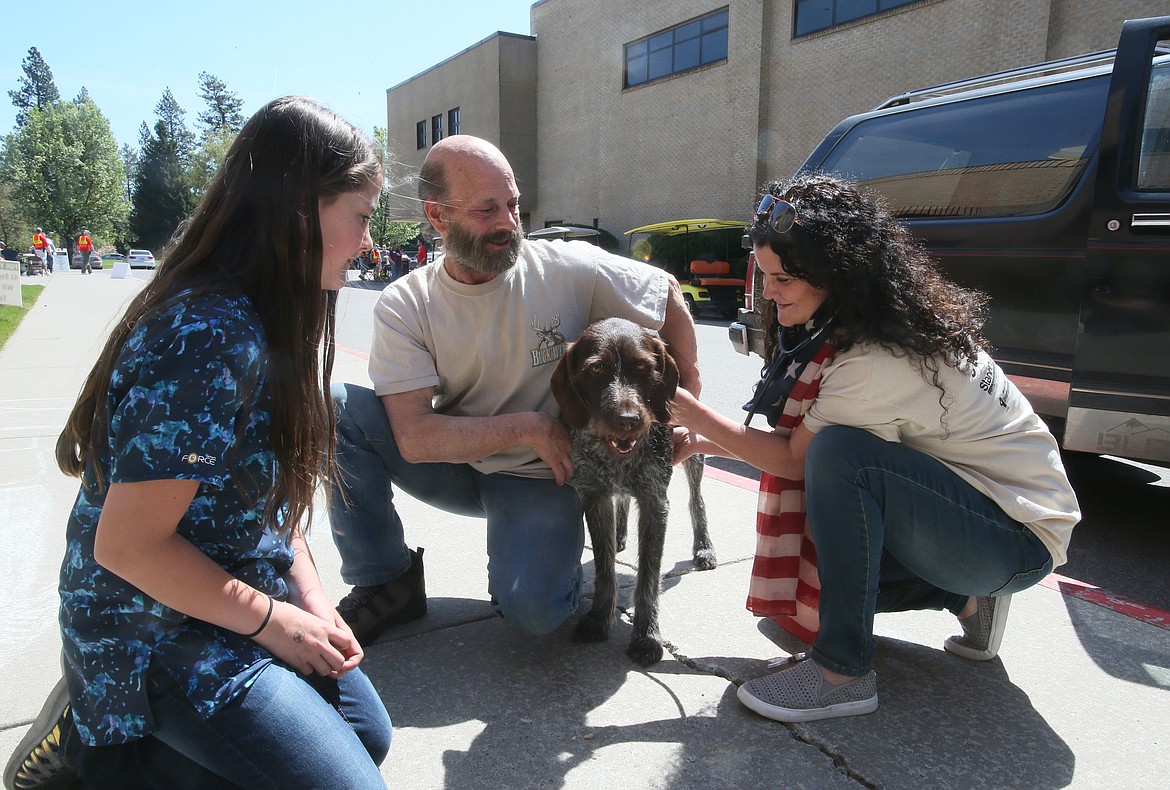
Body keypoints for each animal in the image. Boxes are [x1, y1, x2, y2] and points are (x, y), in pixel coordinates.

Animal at [547, 318, 711, 664]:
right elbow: (604, 567)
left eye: (644, 367)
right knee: (622, 498)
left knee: (697, 500)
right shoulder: (593, 495)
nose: (627, 421)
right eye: (597, 368)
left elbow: (648, 576)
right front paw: (599, 618)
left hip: (693, 445)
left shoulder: (654, 501)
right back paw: (620, 534)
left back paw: (704, 546)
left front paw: (647, 634)